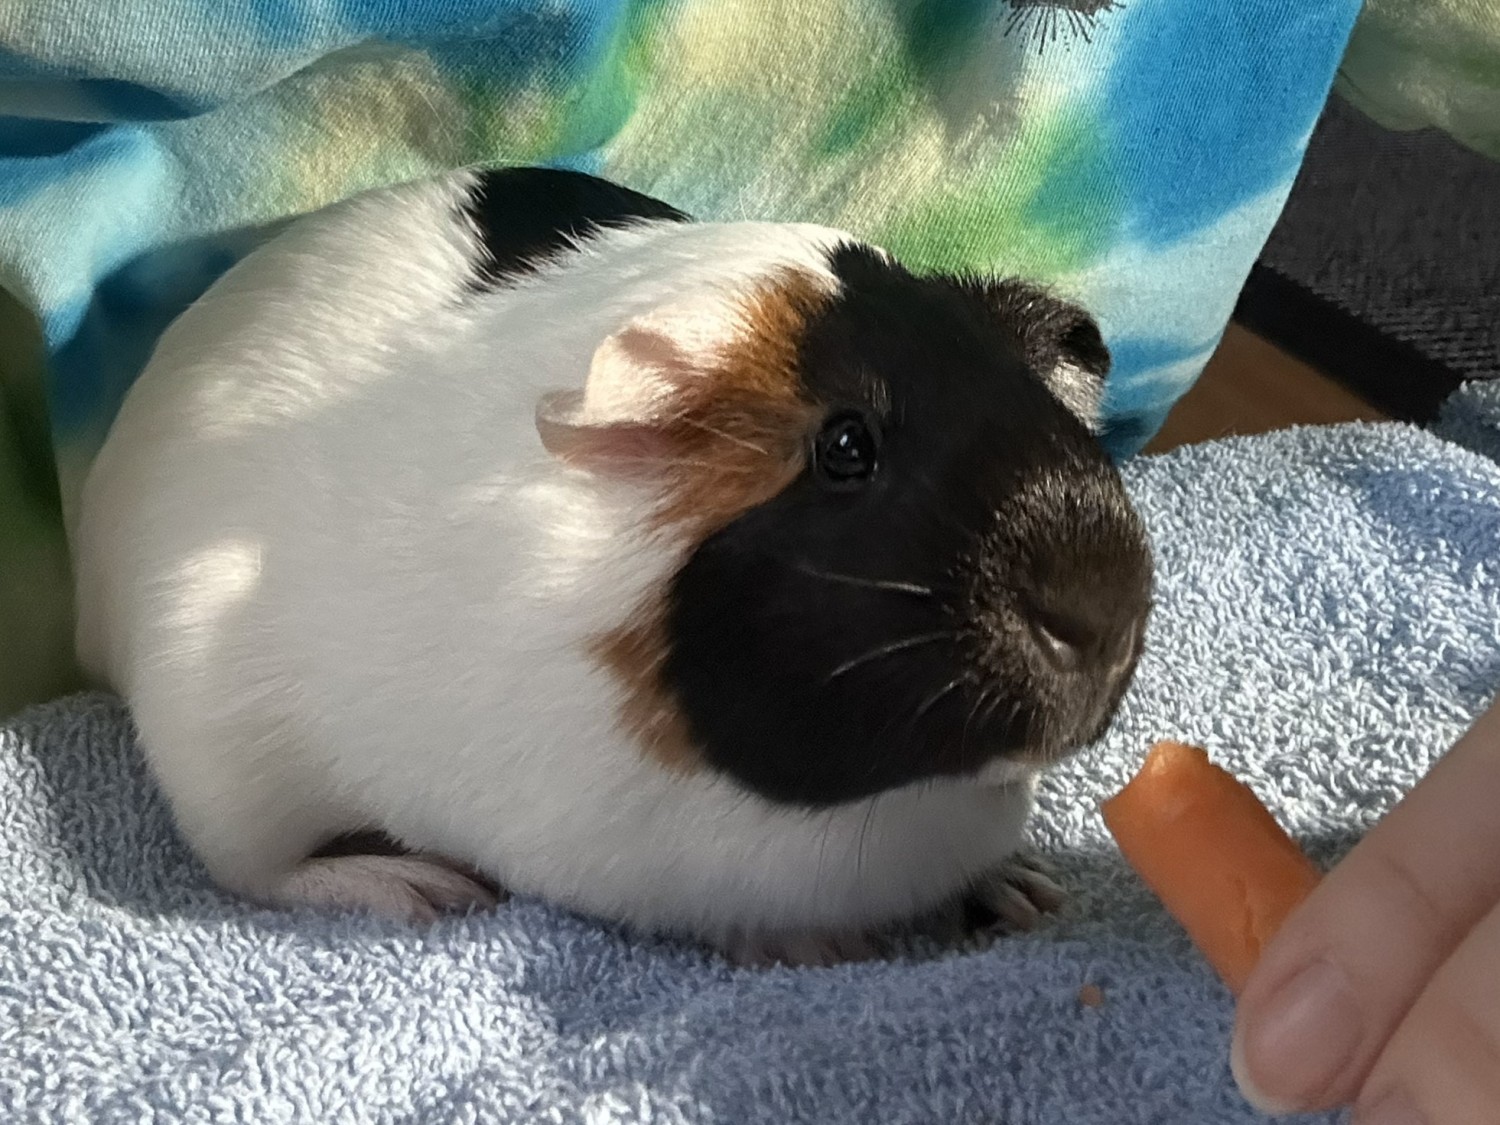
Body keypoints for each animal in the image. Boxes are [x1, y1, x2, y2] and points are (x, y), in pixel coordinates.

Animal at [73, 167, 1153, 965]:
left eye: (1044, 407)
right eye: (846, 447)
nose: (1098, 619)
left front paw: (1028, 891)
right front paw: (822, 950)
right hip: (222, 762)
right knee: (255, 871)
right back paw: (423, 890)